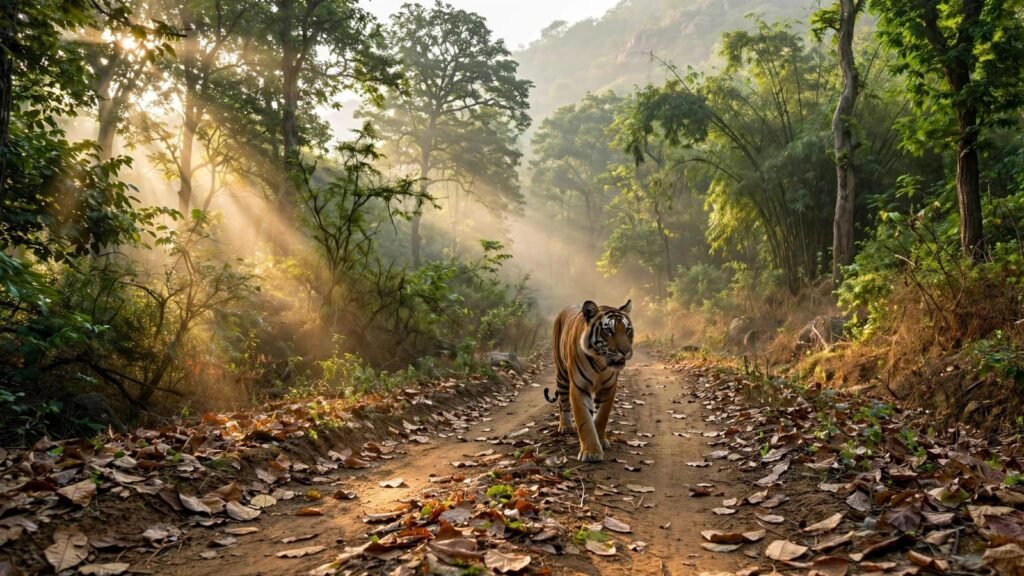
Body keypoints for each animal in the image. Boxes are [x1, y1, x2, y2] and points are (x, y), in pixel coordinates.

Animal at [544, 299, 634, 462]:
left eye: (628, 330)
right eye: (608, 330)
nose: (625, 352)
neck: (601, 363)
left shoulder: (608, 388)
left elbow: (601, 417)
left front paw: (601, 441)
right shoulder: (579, 387)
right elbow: (585, 421)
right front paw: (591, 452)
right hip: (562, 375)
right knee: (563, 403)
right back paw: (565, 426)